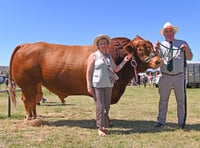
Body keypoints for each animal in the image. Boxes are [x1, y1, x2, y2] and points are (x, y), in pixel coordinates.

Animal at [9, 35, 162, 119]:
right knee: (27, 99)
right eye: (140, 48)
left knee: (34, 99)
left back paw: (35, 117)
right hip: (27, 84)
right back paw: (29, 118)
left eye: (152, 47)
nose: (158, 61)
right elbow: (104, 107)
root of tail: (26, 44)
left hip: (35, 85)